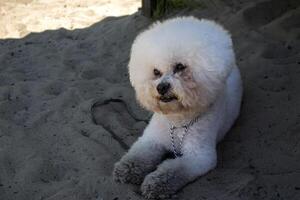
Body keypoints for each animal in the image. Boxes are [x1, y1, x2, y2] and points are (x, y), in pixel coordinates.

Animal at [113, 16, 243, 198]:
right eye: (156, 71)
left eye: (180, 67)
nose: (161, 87)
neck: (177, 119)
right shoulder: (151, 140)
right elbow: (138, 155)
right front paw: (128, 169)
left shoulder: (199, 157)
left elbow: (173, 170)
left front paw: (157, 184)